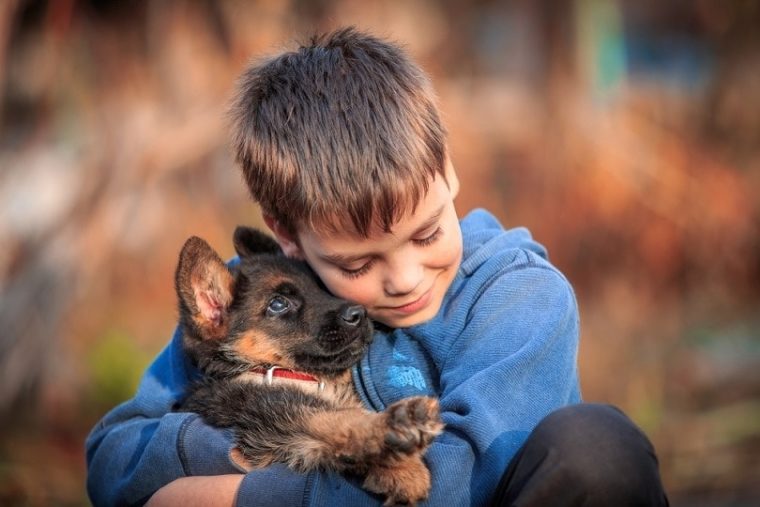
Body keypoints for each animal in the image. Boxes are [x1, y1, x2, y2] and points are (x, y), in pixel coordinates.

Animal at [175, 228, 442, 506]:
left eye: (321, 287)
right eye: (278, 304)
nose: (359, 314)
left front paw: (398, 468)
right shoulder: (270, 413)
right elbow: (337, 418)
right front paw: (400, 434)